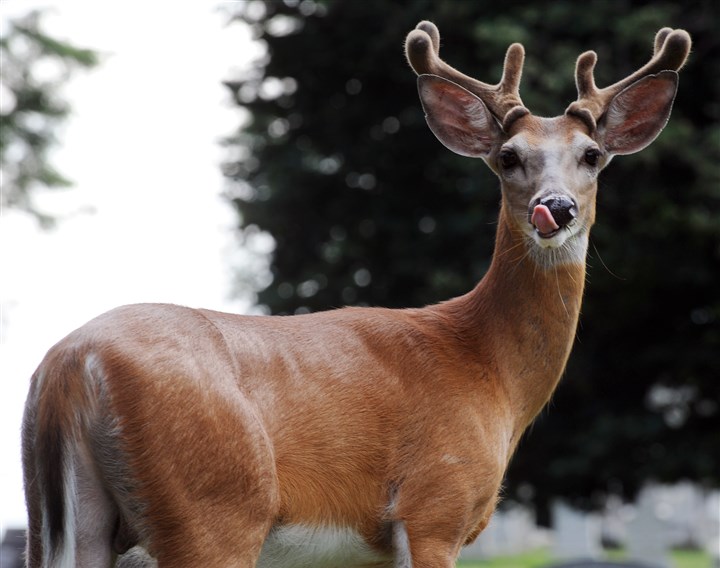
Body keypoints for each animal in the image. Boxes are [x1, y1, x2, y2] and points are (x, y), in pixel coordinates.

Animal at [22, 20, 691, 568]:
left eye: (592, 155)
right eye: (507, 157)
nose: (556, 207)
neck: (489, 370)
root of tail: (73, 364)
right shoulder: (434, 505)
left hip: (62, 517)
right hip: (213, 507)